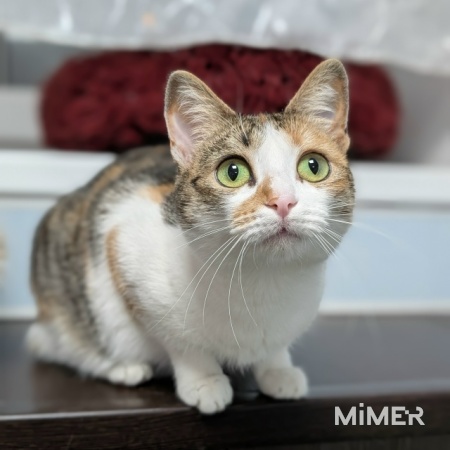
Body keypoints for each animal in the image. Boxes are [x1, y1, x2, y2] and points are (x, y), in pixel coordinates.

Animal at [27, 59, 354, 414]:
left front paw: (277, 369)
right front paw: (205, 381)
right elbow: (182, 342)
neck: (263, 281)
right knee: (56, 342)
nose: (283, 201)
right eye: (232, 172)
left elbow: (275, 348)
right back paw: (122, 367)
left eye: (313, 166)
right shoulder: (123, 234)